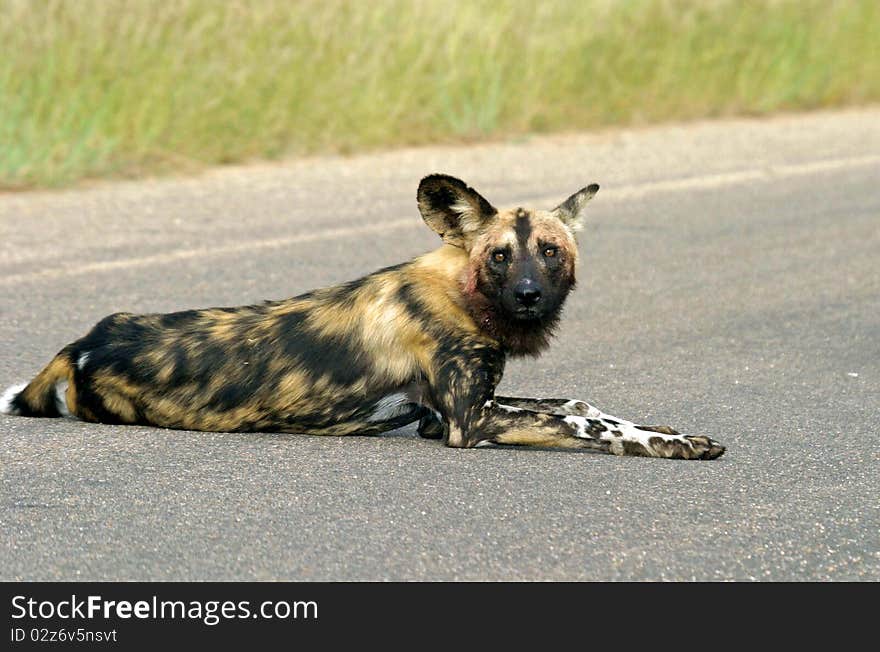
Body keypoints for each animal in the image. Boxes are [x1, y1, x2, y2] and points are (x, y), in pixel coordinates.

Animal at [3, 173, 724, 458]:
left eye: (549, 252)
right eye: (499, 255)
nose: (527, 295)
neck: (461, 293)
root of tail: (82, 343)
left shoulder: (454, 410)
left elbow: (580, 405)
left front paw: (664, 427)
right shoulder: (467, 422)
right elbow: (587, 426)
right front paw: (673, 445)